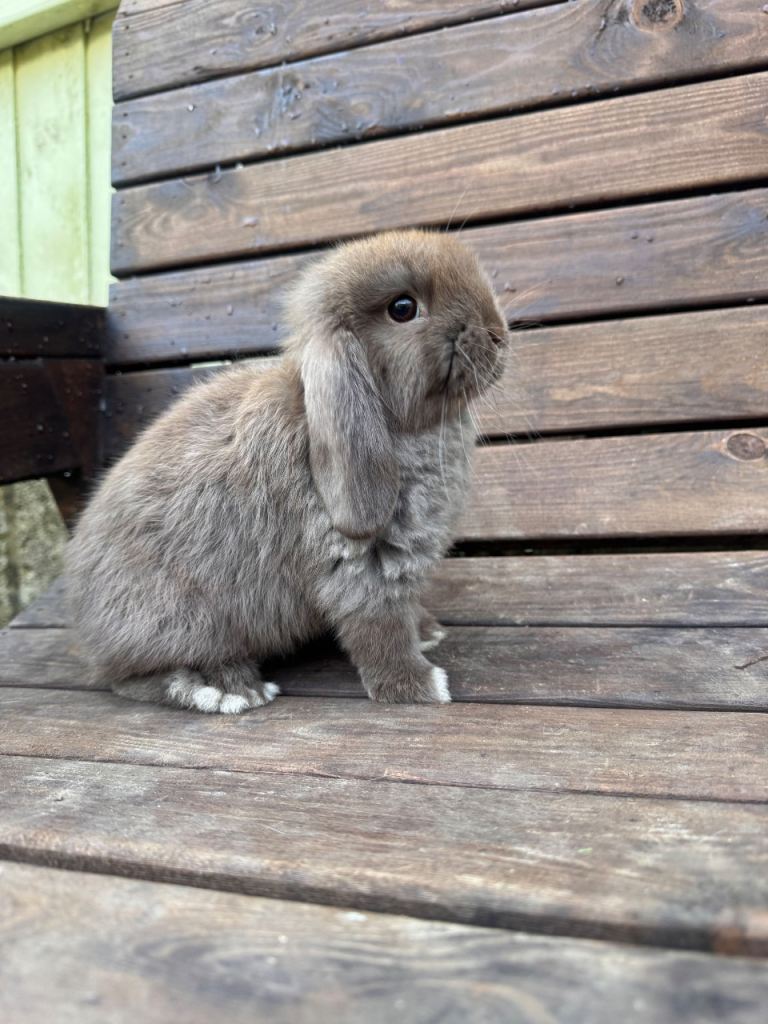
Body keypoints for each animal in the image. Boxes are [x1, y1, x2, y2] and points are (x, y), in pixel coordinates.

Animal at [67, 229, 508, 713]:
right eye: (403, 308)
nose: (498, 334)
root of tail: (86, 627)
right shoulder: (362, 566)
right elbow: (380, 629)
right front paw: (419, 687)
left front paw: (427, 632)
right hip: (175, 618)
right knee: (133, 678)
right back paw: (227, 689)